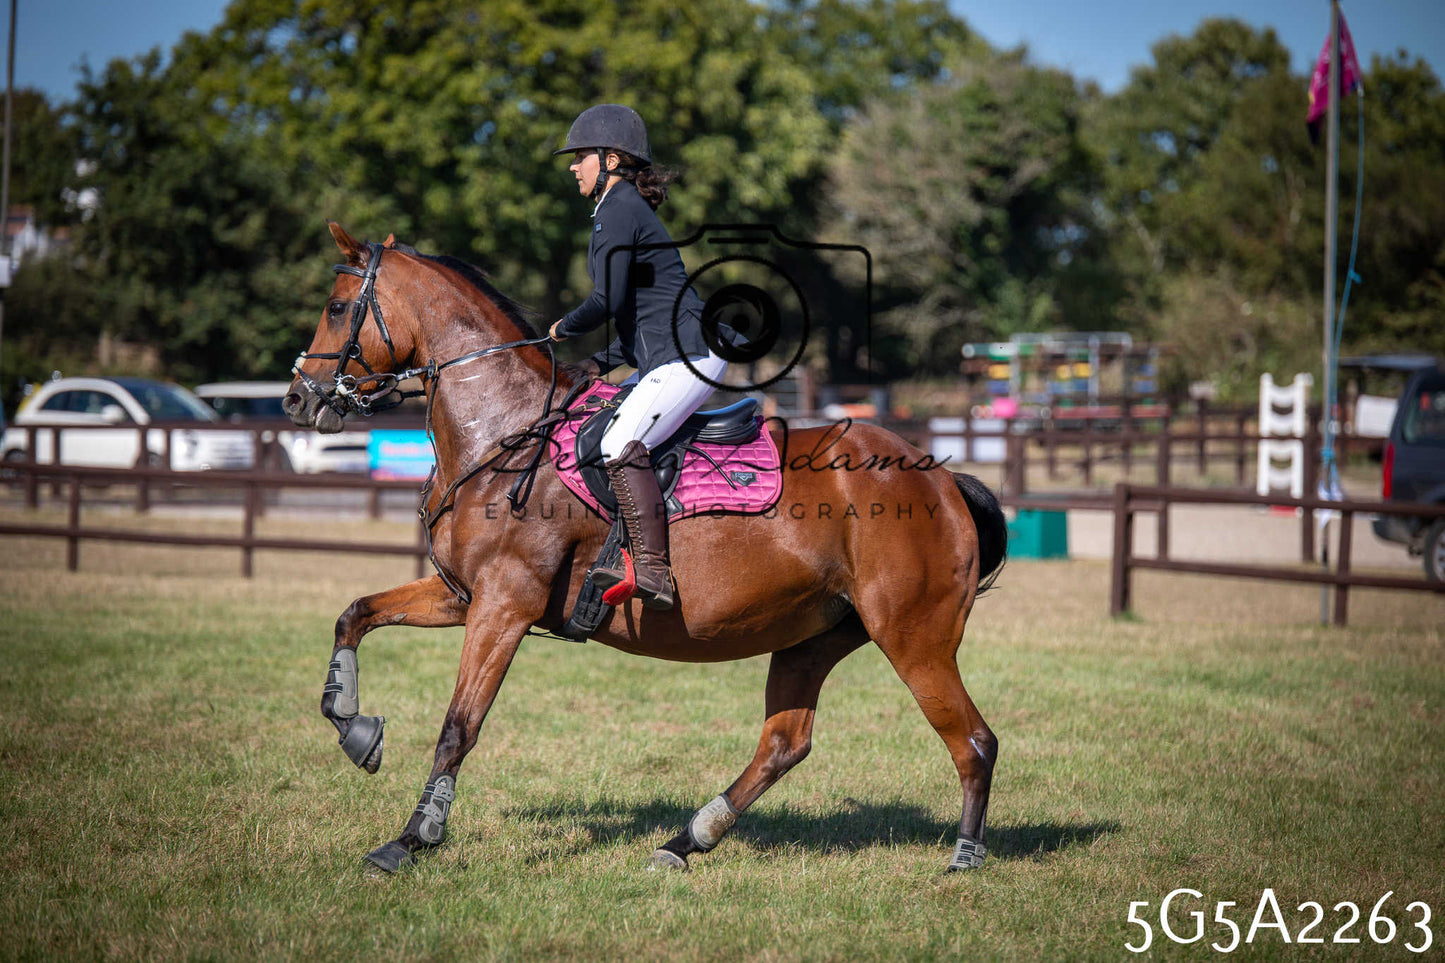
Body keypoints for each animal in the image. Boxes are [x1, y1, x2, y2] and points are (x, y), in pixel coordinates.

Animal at [284, 222, 1008, 874]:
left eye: (337, 308)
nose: (296, 397)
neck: (504, 430)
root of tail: (942, 477)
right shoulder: (462, 595)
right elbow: (355, 613)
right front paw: (354, 728)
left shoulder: (505, 602)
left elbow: (459, 724)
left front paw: (413, 838)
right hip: (814, 633)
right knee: (785, 741)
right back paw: (685, 840)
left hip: (912, 636)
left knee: (973, 741)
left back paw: (965, 857)